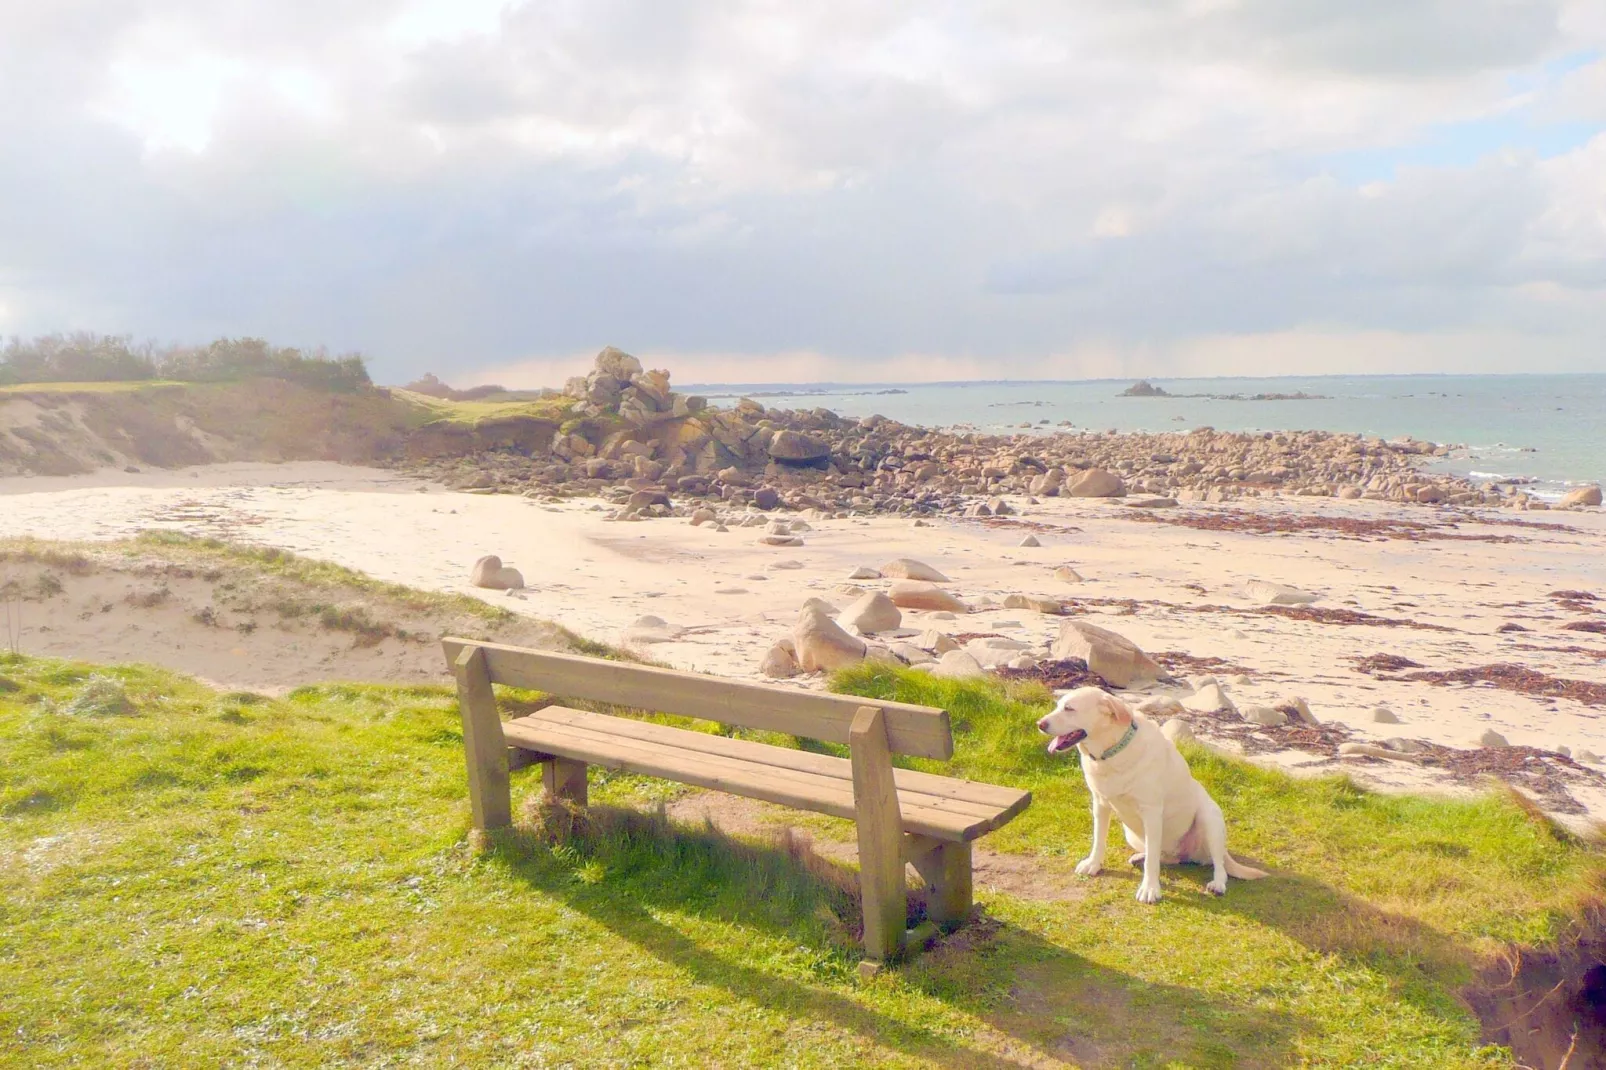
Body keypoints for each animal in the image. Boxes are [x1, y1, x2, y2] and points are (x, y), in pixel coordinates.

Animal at [1040, 684, 1265, 899]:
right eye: (1058, 706)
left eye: (1069, 708)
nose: (1039, 724)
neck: (1110, 754)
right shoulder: (1100, 804)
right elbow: (1099, 839)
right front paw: (1093, 864)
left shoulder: (1151, 812)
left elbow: (1152, 862)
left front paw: (1150, 889)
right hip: (1132, 834)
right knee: (1164, 856)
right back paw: (1142, 857)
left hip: (1210, 818)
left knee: (1218, 863)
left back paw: (1217, 883)